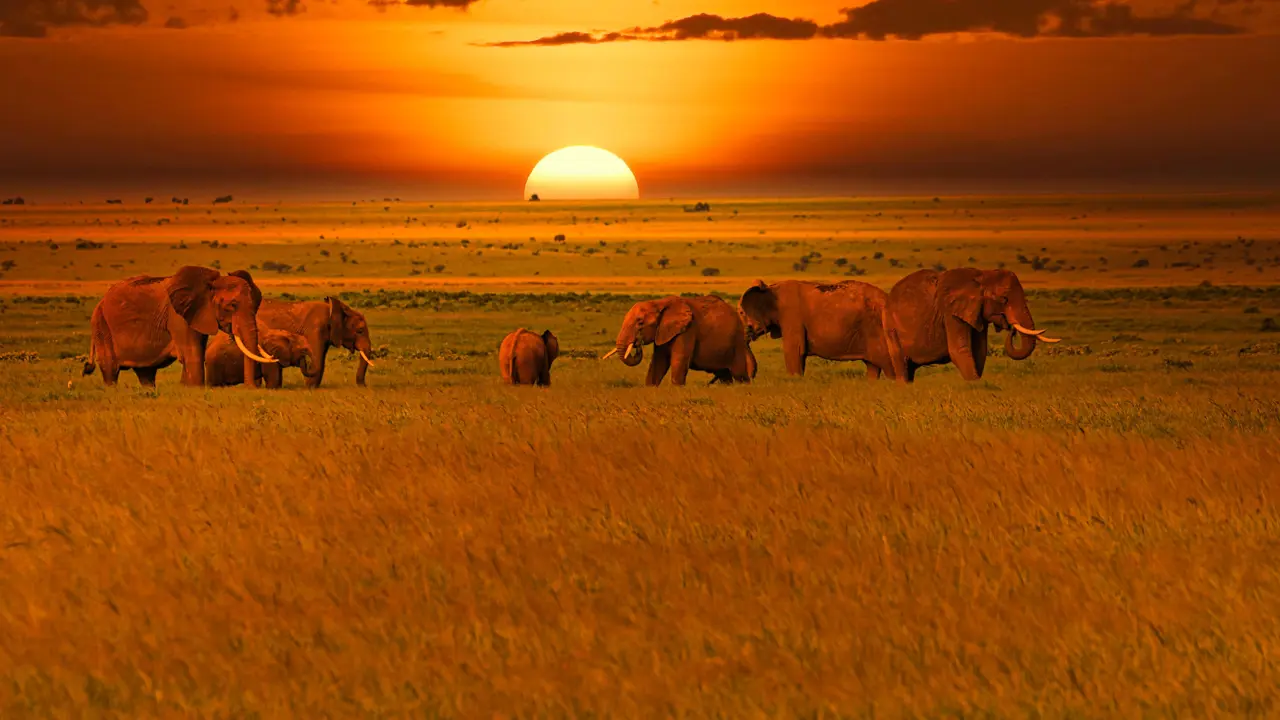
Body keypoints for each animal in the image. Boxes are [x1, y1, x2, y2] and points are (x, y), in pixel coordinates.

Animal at [83, 266, 276, 387]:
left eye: (257, 305)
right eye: (232, 306)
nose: (252, 387)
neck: (209, 284)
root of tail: (100, 302)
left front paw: (185, 386)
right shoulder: (177, 316)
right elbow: (192, 354)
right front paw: (194, 388)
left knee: (146, 373)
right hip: (100, 323)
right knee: (110, 369)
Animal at [602, 295, 753, 386]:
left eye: (640, 323)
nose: (637, 342)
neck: (659, 303)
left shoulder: (688, 329)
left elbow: (679, 359)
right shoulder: (663, 331)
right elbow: (658, 362)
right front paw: (651, 388)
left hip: (737, 341)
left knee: (739, 374)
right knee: (724, 375)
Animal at [737, 279, 895, 380]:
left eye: (741, 313)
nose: (749, 379)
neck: (770, 289)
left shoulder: (791, 316)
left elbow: (794, 351)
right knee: (873, 366)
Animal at [883, 268, 1061, 383]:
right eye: (1004, 299)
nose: (1011, 330)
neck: (982, 275)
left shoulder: (977, 312)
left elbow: (979, 351)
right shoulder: (951, 313)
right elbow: (959, 350)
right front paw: (974, 384)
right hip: (890, 327)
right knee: (901, 362)